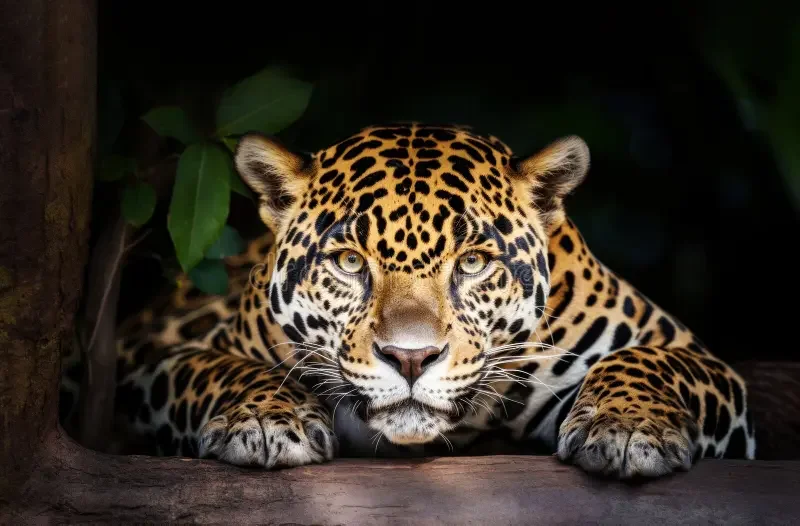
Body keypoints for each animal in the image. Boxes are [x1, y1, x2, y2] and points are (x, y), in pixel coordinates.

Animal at [60, 122, 756, 478]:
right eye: (349, 262)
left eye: (472, 262)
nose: (412, 358)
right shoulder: (157, 356)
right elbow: (221, 368)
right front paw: (262, 419)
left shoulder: (692, 355)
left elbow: (646, 362)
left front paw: (629, 427)